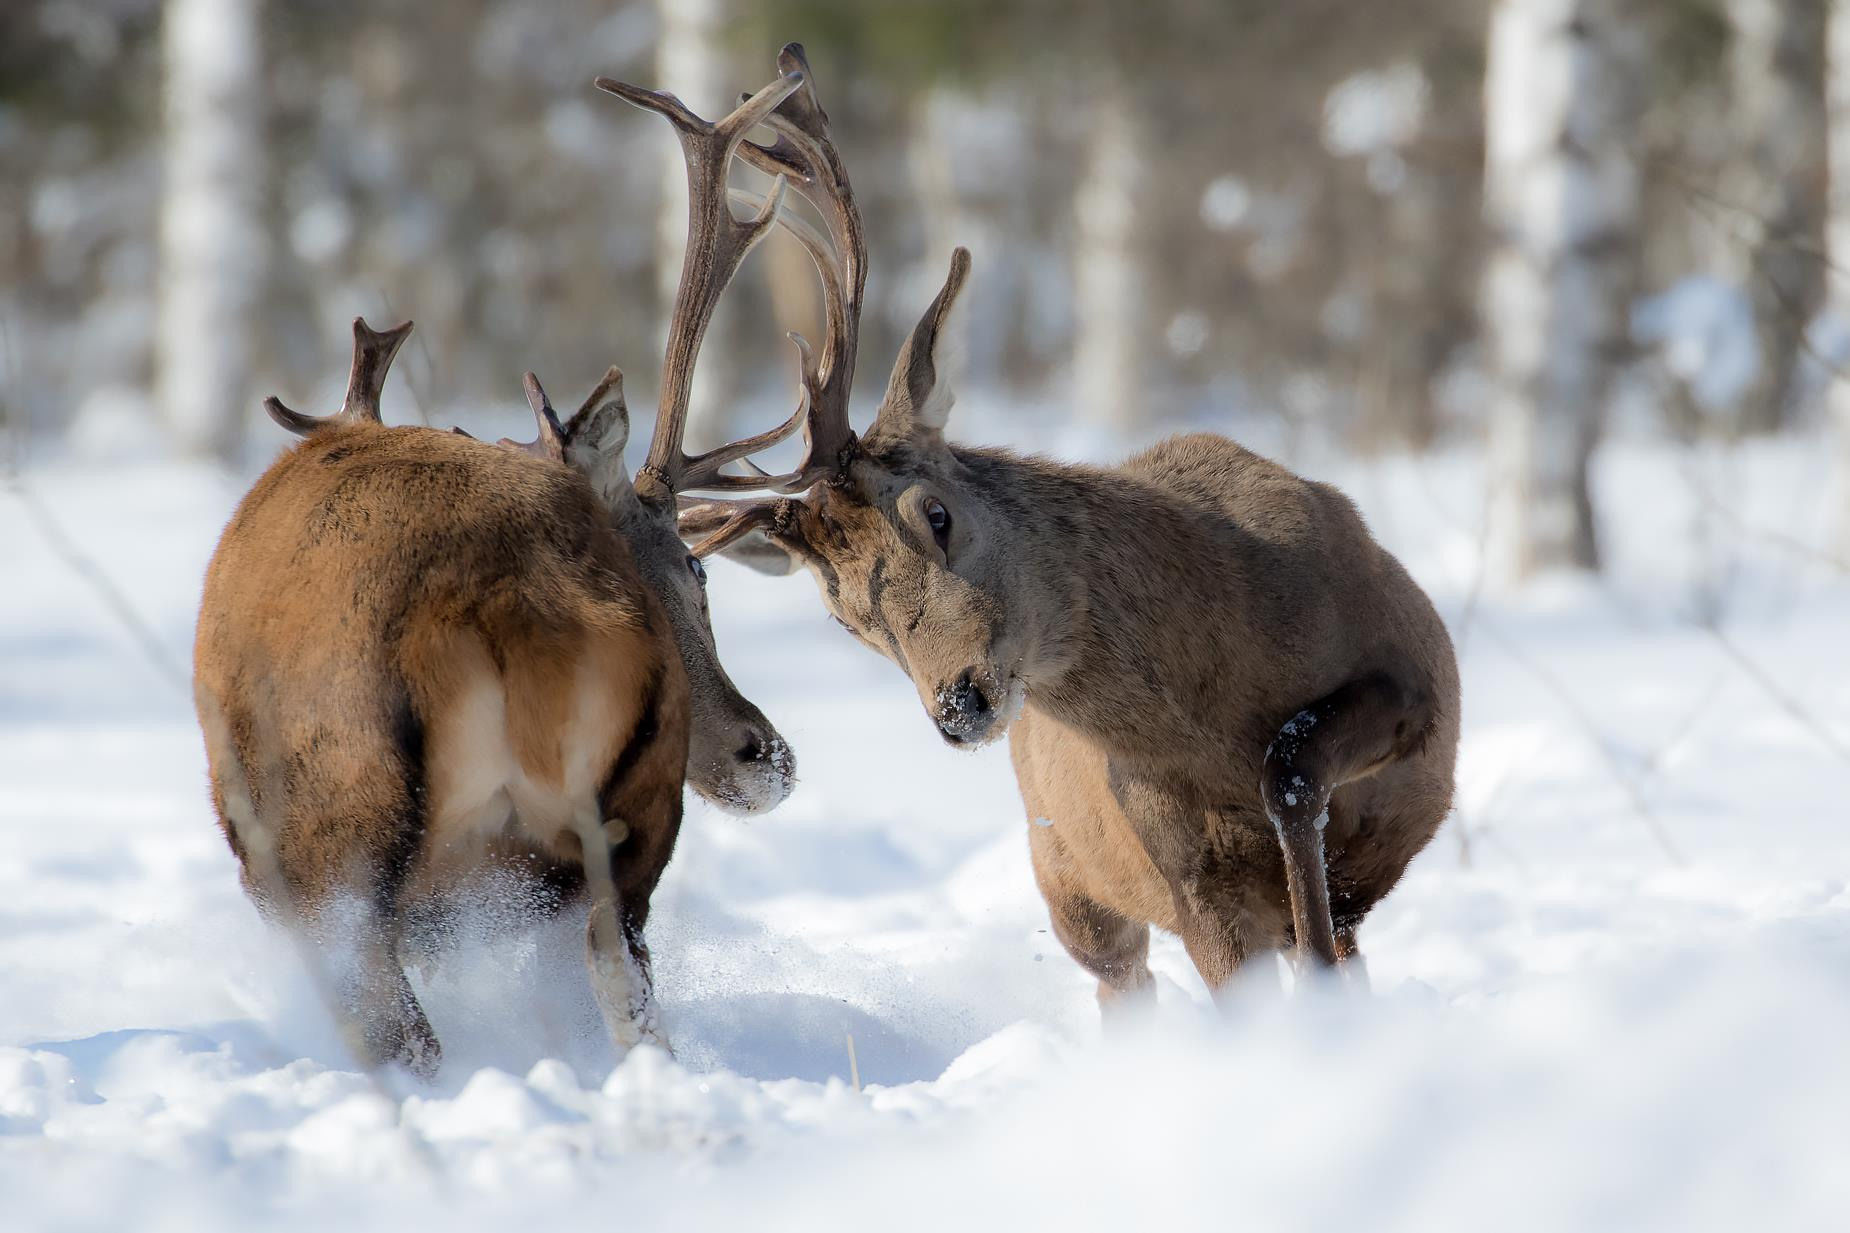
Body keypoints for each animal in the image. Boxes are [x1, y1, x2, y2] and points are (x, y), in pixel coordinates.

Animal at [193, 66, 823, 1075]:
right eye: (693, 573)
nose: (767, 754)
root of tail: (507, 603)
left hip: (338, 836)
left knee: (407, 1034)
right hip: (629, 828)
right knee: (627, 991)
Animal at [680, 44, 1461, 1009]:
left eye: (937, 513)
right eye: (843, 614)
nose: (958, 704)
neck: (1223, 701)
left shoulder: (1416, 673)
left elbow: (1295, 773)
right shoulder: (1184, 876)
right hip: (1067, 880)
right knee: (1122, 977)